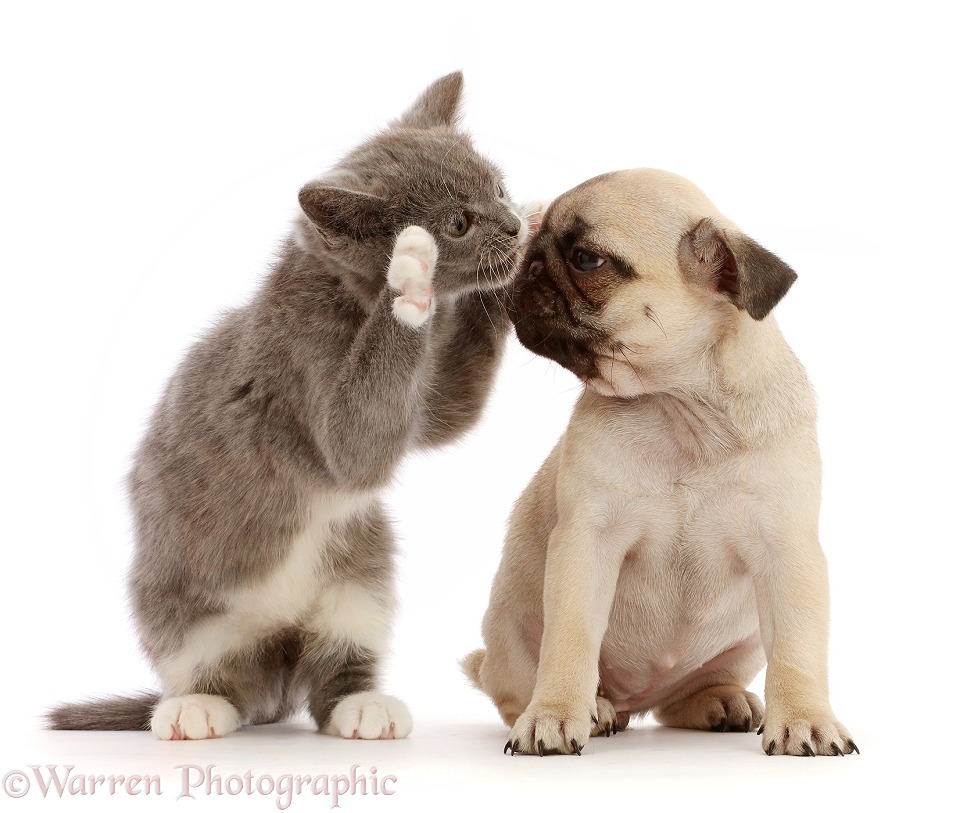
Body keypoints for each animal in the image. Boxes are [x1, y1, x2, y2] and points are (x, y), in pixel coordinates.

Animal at [48, 73, 524, 740]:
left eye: (499, 188)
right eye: (458, 223)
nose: (513, 225)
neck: (344, 296)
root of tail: (278, 649)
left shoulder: (427, 399)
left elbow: (451, 416)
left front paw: (516, 277)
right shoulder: (301, 363)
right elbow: (357, 450)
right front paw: (409, 278)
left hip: (360, 581)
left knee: (332, 676)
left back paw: (363, 705)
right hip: (178, 609)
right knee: (223, 683)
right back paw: (193, 709)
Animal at [466, 168, 860, 760]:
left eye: (586, 259)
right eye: (533, 241)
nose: (526, 261)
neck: (680, 406)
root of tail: (637, 702)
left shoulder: (787, 550)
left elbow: (798, 648)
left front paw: (806, 720)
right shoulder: (586, 543)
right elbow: (571, 639)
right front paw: (555, 714)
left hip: (743, 643)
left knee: (683, 700)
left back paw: (719, 700)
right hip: (507, 634)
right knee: (518, 692)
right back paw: (593, 708)